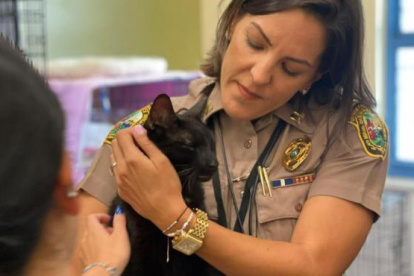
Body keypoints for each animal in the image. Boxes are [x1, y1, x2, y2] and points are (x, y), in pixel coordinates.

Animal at [111, 91, 218, 276]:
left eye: (212, 144)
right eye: (189, 145)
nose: (214, 163)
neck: (182, 189)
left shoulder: (198, 263)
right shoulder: (141, 254)